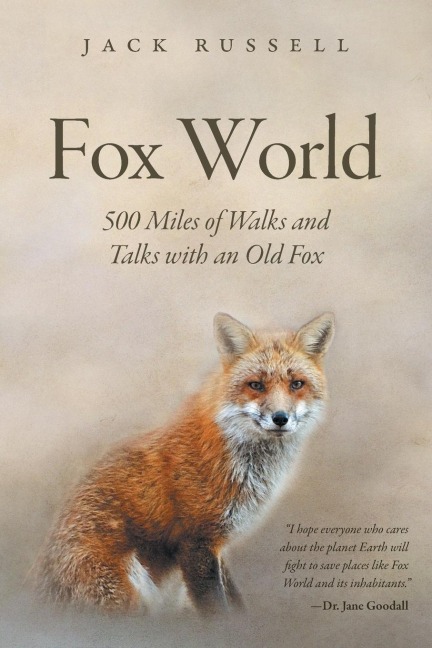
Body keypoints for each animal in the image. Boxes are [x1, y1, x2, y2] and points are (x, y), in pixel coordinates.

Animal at [35, 311, 335, 614]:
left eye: (296, 384)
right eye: (256, 385)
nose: (280, 418)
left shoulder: (217, 545)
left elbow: (234, 600)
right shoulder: (196, 540)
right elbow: (216, 609)